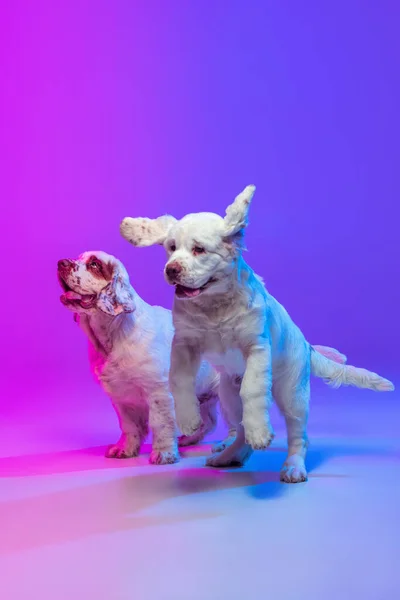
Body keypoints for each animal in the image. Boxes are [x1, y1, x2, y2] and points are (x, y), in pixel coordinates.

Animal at [56, 250, 220, 464]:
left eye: (94, 264)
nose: (61, 263)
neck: (115, 333)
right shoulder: (122, 397)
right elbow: (129, 426)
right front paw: (125, 449)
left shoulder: (158, 391)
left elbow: (161, 423)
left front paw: (164, 454)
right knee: (208, 422)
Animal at [119, 186, 394, 482]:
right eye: (171, 248)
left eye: (199, 249)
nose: (171, 269)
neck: (214, 305)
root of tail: (307, 346)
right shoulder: (184, 344)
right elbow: (178, 380)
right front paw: (188, 420)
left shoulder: (256, 348)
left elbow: (252, 388)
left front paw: (261, 433)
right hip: (228, 393)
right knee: (240, 430)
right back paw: (230, 456)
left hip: (292, 393)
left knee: (298, 435)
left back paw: (293, 466)